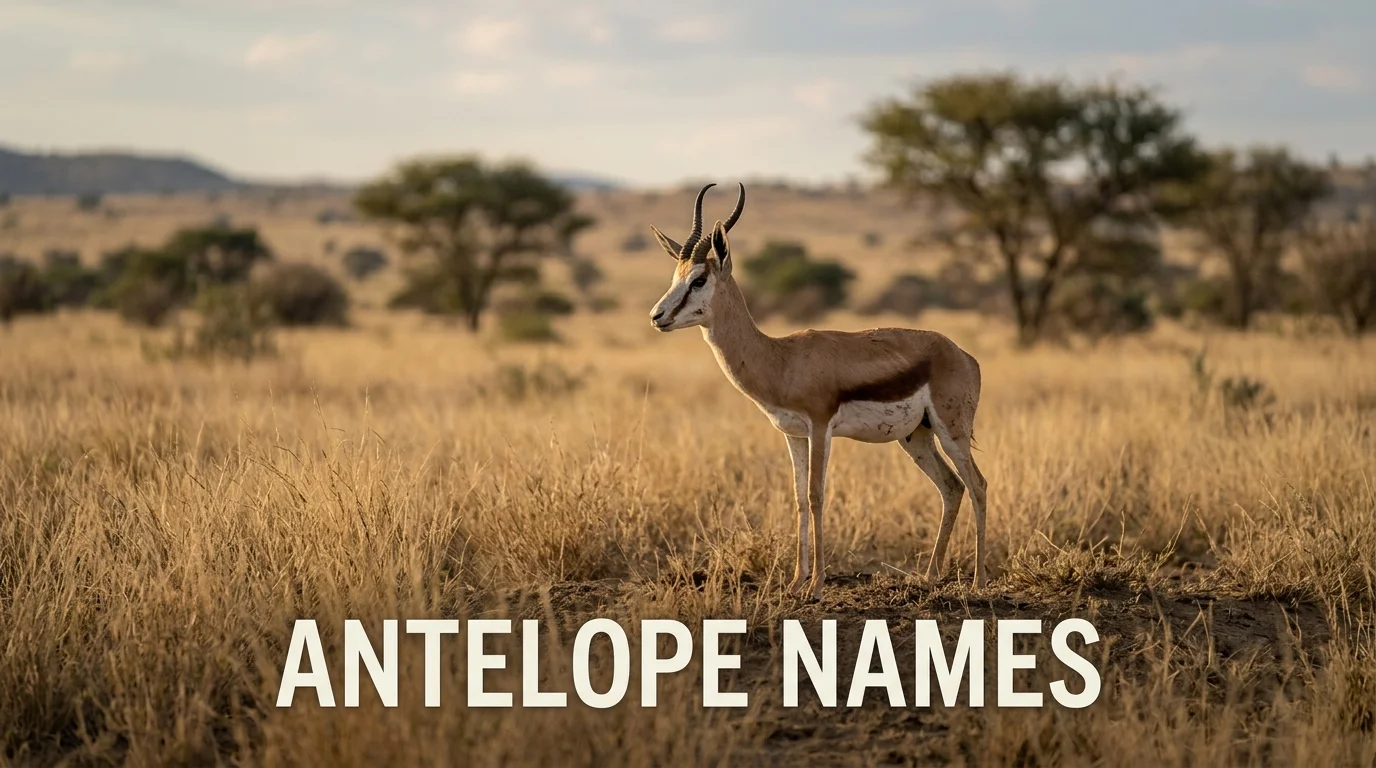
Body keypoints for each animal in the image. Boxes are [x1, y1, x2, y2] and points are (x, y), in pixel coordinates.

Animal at [648, 183, 989, 600]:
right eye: (676, 276)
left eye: (698, 280)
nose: (657, 317)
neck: (781, 358)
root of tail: (964, 355)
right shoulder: (794, 434)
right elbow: (797, 498)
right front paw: (796, 581)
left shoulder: (820, 428)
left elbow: (816, 495)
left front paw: (816, 585)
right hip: (916, 437)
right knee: (952, 487)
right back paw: (929, 577)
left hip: (951, 431)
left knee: (977, 484)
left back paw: (978, 581)